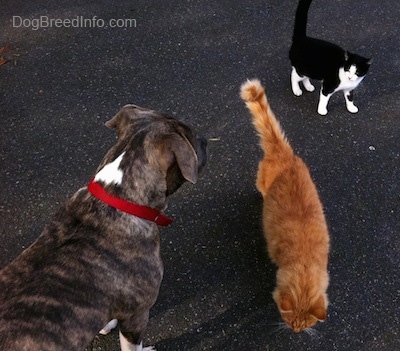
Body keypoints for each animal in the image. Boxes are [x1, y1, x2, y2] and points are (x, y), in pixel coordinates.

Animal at [241, 79, 328, 332]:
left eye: (305, 323)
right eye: (290, 321)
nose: (296, 331)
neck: (304, 260)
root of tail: (283, 153)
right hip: (260, 181)